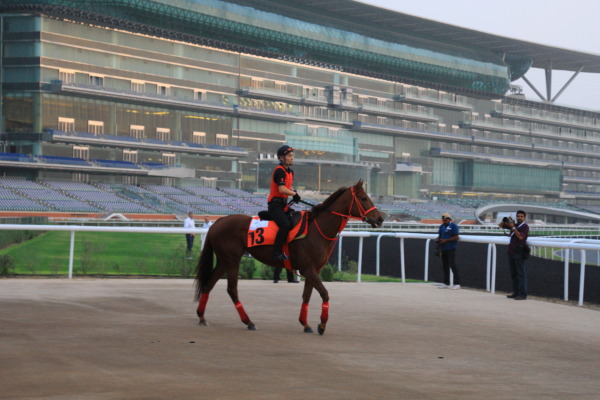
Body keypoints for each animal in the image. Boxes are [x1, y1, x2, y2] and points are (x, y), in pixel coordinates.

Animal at [196, 180, 384, 334]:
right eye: (363, 198)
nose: (380, 218)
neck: (316, 229)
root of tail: (218, 222)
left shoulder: (313, 271)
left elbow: (307, 295)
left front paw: (306, 324)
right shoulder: (308, 269)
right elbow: (324, 293)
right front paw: (322, 325)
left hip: (224, 261)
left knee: (208, 285)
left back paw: (202, 317)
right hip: (232, 260)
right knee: (232, 290)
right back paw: (248, 322)